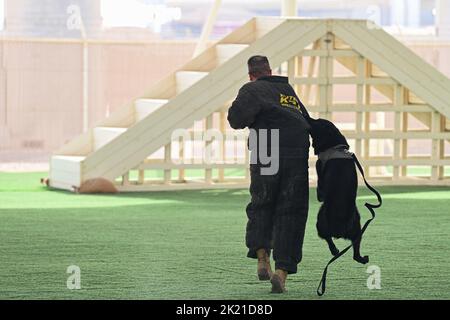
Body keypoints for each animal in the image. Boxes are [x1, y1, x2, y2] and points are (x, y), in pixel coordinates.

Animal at [310, 119, 370, 264]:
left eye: (317, 122)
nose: (308, 117)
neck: (336, 147)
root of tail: (339, 231)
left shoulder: (319, 165)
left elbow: (320, 189)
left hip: (320, 221)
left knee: (327, 238)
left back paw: (334, 250)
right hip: (358, 228)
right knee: (355, 251)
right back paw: (362, 258)